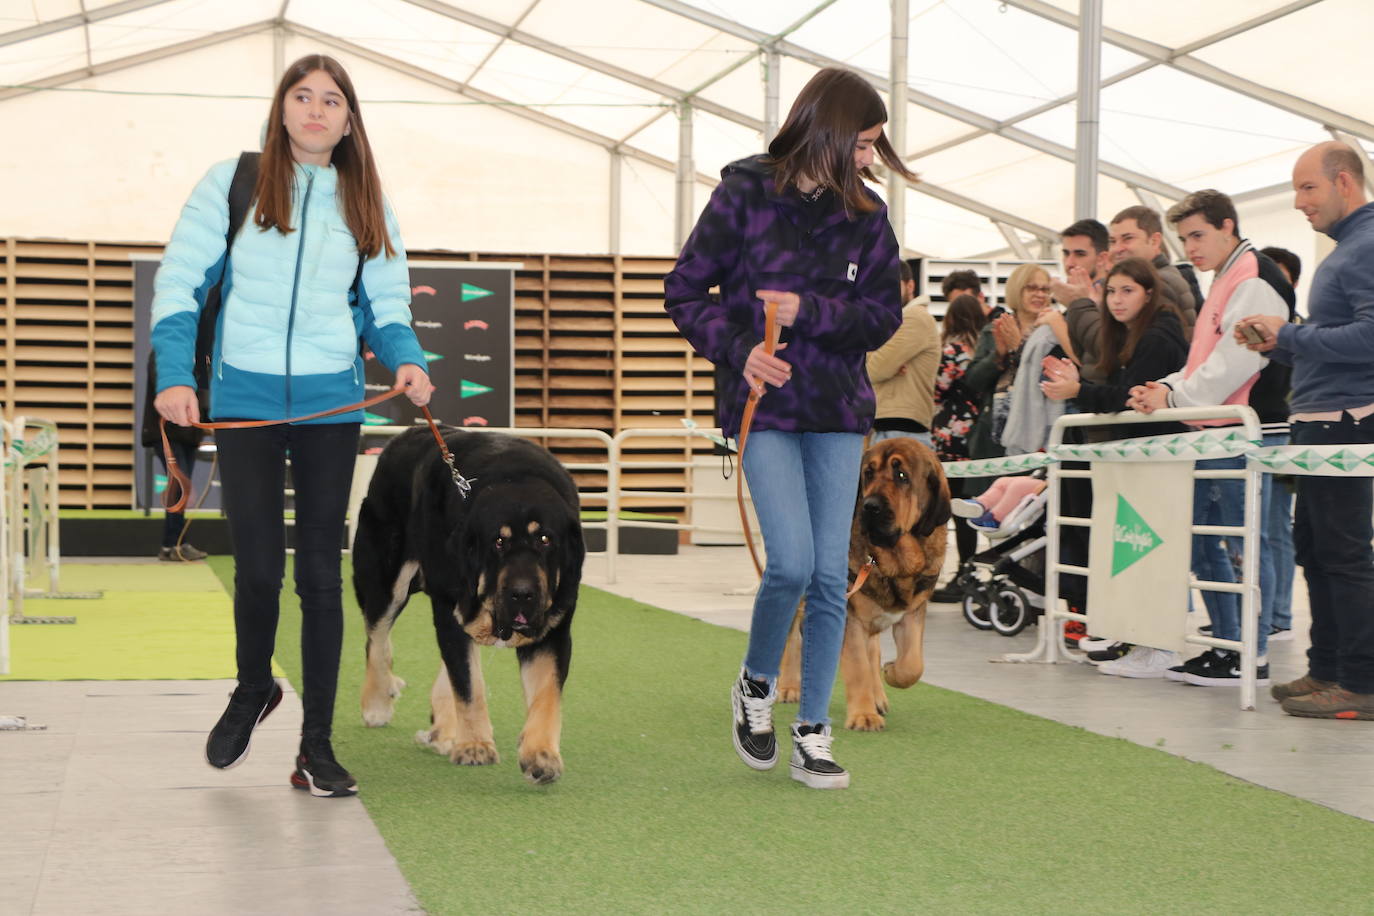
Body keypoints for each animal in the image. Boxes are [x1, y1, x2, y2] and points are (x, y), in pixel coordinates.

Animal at [351, 425, 582, 785]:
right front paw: (474, 746)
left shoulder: (553, 629)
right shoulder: (449, 608)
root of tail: (407, 433)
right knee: (376, 639)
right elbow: (469, 685)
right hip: (385, 578)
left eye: (546, 540)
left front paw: (541, 754)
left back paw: (443, 729)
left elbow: (546, 695)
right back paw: (378, 701)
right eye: (498, 542)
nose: (522, 592)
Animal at [780, 436, 950, 730]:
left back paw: (878, 694)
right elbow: (857, 664)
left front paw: (891, 673)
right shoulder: (850, 616)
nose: (870, 506)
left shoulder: (912, 613)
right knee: (791, 634)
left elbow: (913, 664)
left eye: (902, 476)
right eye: (868, 473)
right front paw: (864, 716)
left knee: (873, 647)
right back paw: (788, 686)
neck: (892, 562)